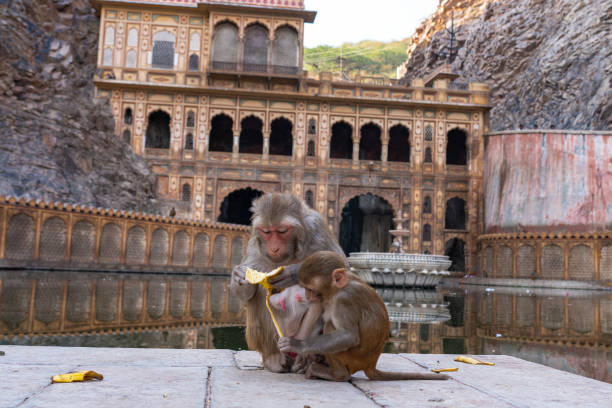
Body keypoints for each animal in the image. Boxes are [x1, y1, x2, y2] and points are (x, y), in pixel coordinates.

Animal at [230, 193, 344, 372]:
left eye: (282, 231)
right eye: (266, 232)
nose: (274, 248)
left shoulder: (317, 226)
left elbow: (343, 267)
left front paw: (293, 272)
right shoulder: (254, 243)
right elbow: (248, 293)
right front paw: (239, 277)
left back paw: (308, 357)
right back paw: (274, 358)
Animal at [278, 250, 450, 380]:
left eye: (310, 289)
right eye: (306, 288)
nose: (307, 296)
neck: (336, 290)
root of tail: (371, 365)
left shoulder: (343, 300)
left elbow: (348, 336)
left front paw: (298, 345)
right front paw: (302, 355)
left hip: (353, 358)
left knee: (330, 327)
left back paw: (336, 375)